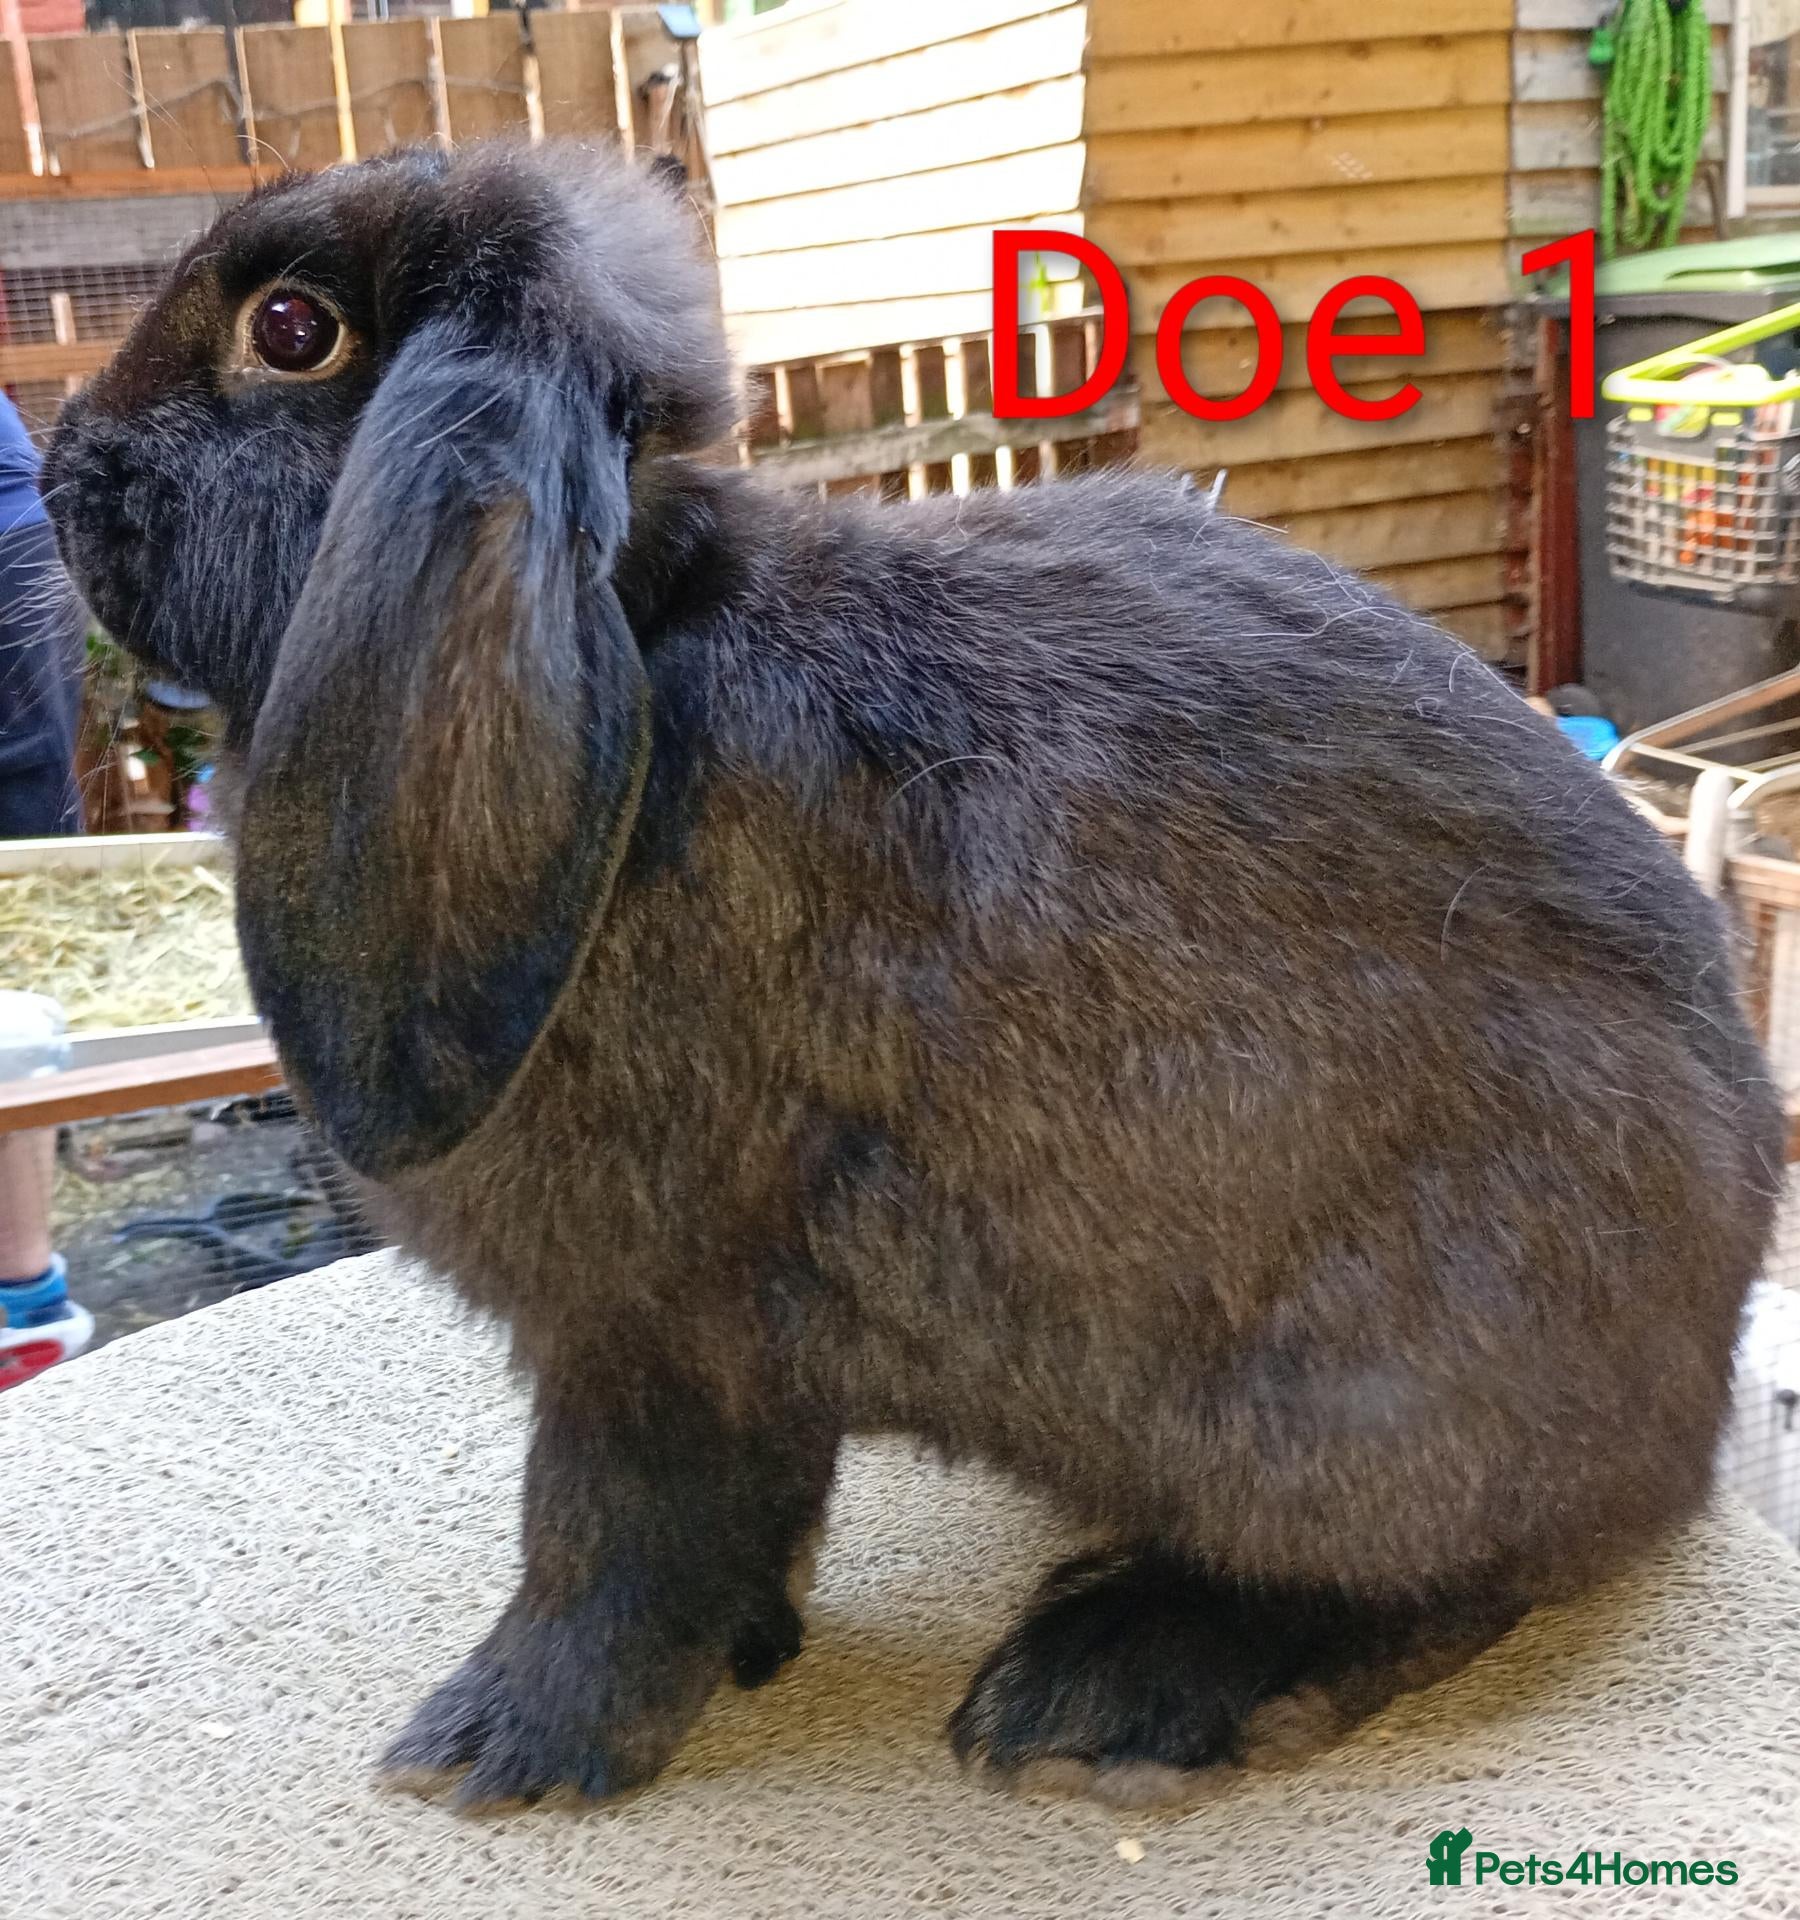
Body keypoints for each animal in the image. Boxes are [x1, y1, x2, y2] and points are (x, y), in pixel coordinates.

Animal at [42, 141, 1784, 1810]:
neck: (650, 647)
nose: (64, 468)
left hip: (1355, 1396)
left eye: (291, 331)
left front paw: (491, 1756)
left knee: (1453, 1571)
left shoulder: (652, 1334)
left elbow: (605, 1539)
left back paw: (1108, 1701)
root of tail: (1705, 1363)